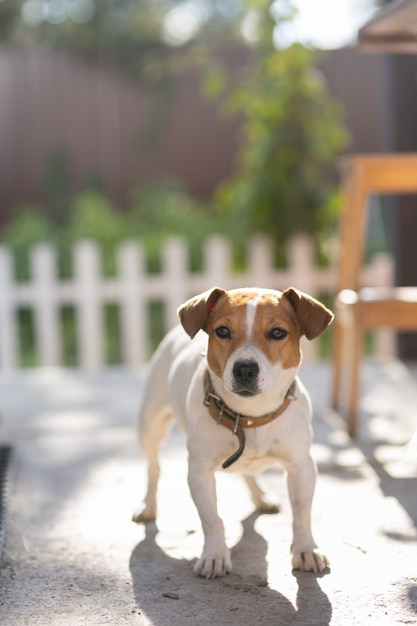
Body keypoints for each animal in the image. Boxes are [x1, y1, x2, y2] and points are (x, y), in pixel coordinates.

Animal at [132, 286, 334, 576]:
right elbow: (211, 519)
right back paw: (148, 506)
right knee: (154, 468)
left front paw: (306, 549)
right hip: (149, 426)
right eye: (223, 331)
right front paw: (215, 555)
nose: (245, 369)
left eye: (277, 332)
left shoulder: (301, 466)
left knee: (248, 472)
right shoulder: (199, 471)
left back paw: (261, 497)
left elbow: (301, 512)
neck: (248, 417)